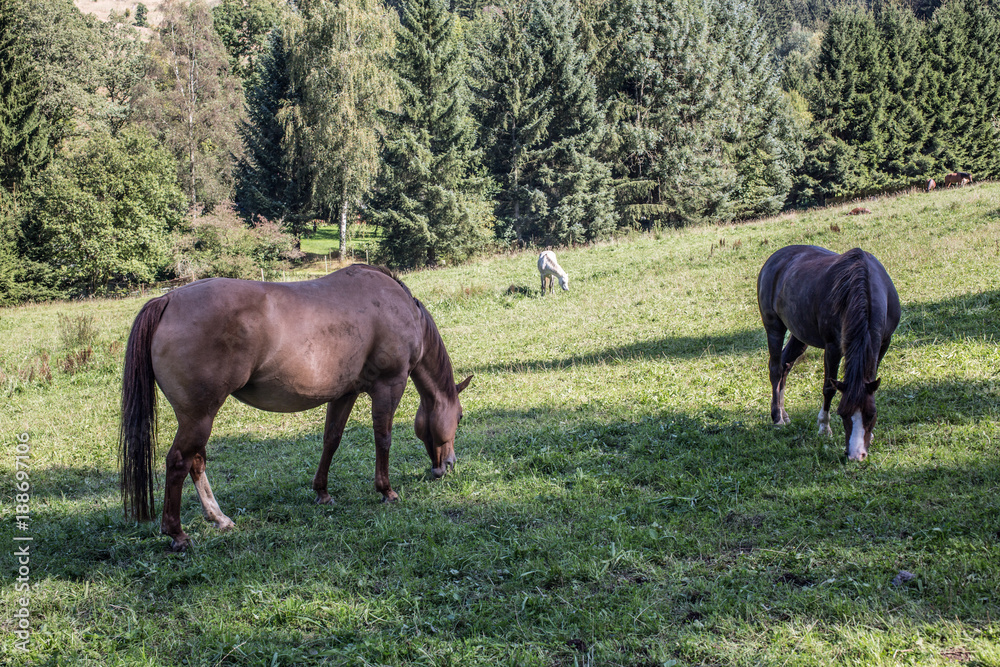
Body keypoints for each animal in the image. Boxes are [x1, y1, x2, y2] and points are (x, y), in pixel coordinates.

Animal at [118, 264, 472, 552]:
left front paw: (322, 492)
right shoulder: (389, 385)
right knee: (180, 462)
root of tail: (167, 301)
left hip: (197, 418)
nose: (449, 464)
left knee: (195, 462)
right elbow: (382, 438)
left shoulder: (345, 393)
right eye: (459, 417)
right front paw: (386, 491)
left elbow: (331, 440)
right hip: (199, 416)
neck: (397, 305)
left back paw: (219, 518)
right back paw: (177, 533)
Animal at [756, 248, 900, 462]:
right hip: (774, 326)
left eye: (871, 414)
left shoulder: (883, 343)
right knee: (775, 368)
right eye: (842, 413)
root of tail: (774, 259)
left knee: (785, 365)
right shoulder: (833, 347)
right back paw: (777, 418)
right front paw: (824, 427)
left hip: (799, 334)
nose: (856, 455)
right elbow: (829, 389)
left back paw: (784, 413)